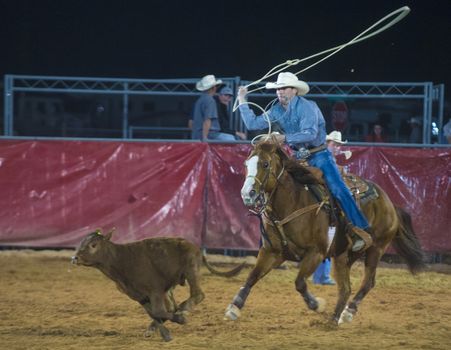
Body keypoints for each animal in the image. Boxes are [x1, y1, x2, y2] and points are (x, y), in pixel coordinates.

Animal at [224, 138, 426, 324]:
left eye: (265, 164)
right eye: (246, 164)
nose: (247, 194)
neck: (293, 202)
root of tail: (390, 204)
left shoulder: (316, 253)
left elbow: (299, 282)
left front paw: (316, 304)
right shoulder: (272, 252)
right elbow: (252, 276)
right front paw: (234, 306)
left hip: (376, 249)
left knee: (367, 282)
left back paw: (348, 312)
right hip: (343, 255)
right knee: (345, 288)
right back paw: (334, 318)